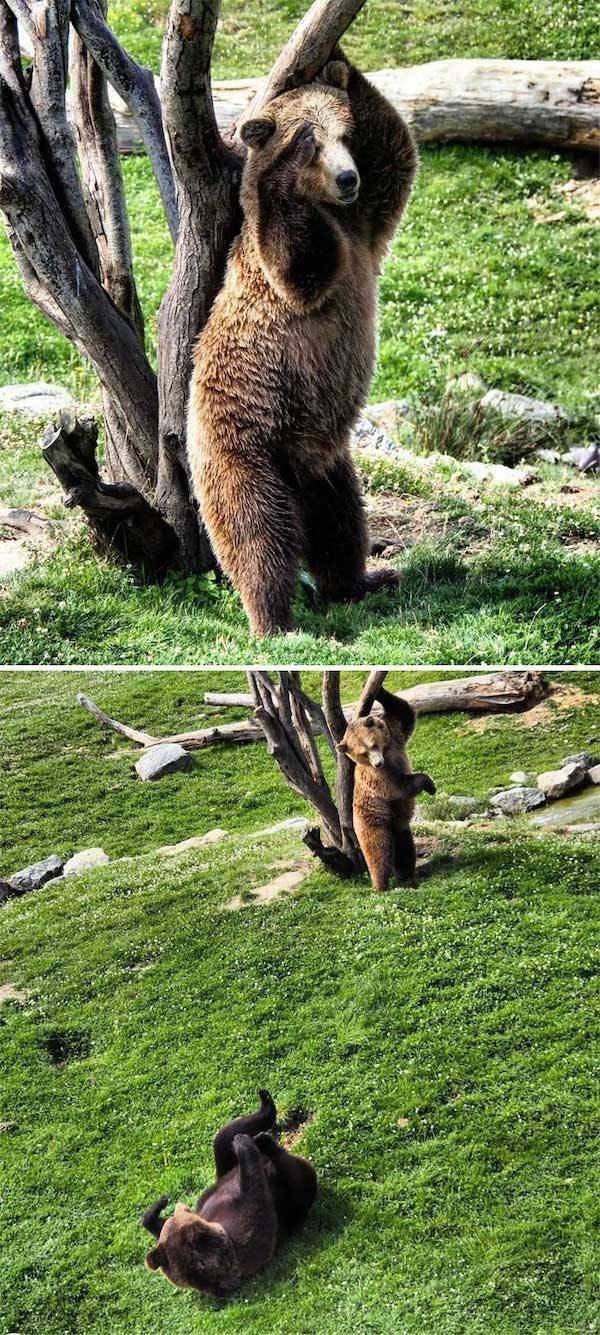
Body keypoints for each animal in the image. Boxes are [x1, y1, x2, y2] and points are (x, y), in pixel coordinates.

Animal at [142, 1089, 315, 1297]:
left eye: (182, 1212)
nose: (179, 1205)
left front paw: (157, 1207)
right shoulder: (242, 1237)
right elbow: (256, 1194)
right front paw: (244, 1143)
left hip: (223, 1169)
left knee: (222, 1137)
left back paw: (264, 1103)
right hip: (292, 1191)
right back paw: (262, 1140)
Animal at [187, 53, 416, 635]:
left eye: (345, 134)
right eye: (312, 142)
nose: (347, 176)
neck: (336, 213)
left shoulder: (368, 223)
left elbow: (398, 150)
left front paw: (341, 63)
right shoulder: (286, 267)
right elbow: (295, 260)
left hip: (328, 463)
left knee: (341, 522)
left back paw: (362, 579)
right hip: (246, 445)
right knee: (256, 533)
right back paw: (274, 619)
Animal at [336, 683, 435, 891]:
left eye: (372, 744)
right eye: (362, 753)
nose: (378, 762)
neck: (386, 752)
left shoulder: (395, 736)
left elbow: (403, 712)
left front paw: (377, 689)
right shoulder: (378, 777)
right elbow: (397, 787)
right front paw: (428, 784)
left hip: (398, 826)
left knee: (405, 849)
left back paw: (407, 876)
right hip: (373, 821)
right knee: (378, 852)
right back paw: (381, 885)